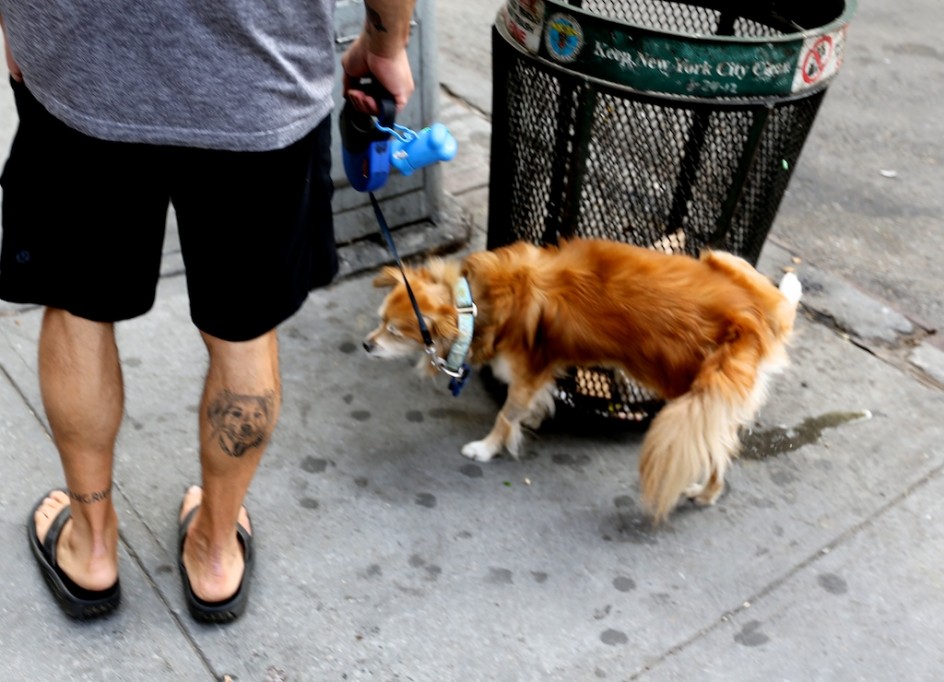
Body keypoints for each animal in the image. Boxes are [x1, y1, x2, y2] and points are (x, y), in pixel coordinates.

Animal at [366, 239, 800, 520]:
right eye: (379, 320)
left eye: (395, 332)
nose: (367, 344)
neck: (473, 302)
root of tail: (748, 320)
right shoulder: (541, 370)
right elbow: (529, 405)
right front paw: (533, 419)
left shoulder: (526, 371)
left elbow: (505, 415)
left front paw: (488, 448)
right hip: (724, 260)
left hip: (690, 393)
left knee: (717, 451)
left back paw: (706, 494)